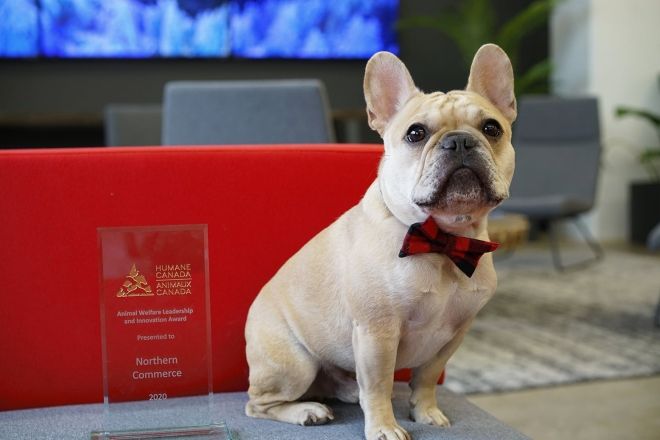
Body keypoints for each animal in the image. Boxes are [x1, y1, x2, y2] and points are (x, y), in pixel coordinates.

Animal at [242, 43, 516, 440]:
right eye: (416, 134)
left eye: (492, 128)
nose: (460, 140)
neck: (442, 240)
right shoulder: (377, 332)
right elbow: (379, 385)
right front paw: (385, 427)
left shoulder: (452, 335)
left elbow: (427, 377)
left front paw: (426, 411)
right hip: (294, 364)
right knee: (258, 404)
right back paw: (306, 410)